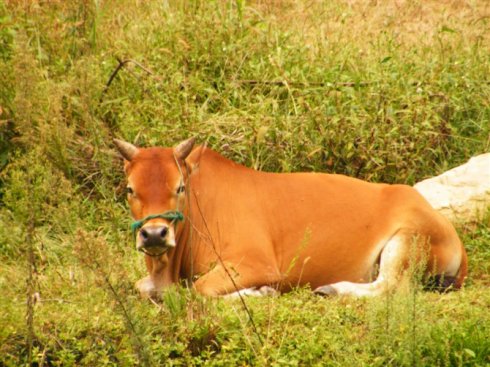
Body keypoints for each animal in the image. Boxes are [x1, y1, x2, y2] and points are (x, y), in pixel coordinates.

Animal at [114, 138, 468, 300]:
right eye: (130, 189)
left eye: (180, 187)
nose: (155, 234)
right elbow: (141, 286)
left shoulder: (257, 263)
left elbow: (201, 289)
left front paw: (260, 293)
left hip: (408, 240)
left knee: (391, 288)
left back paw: (332, 289)